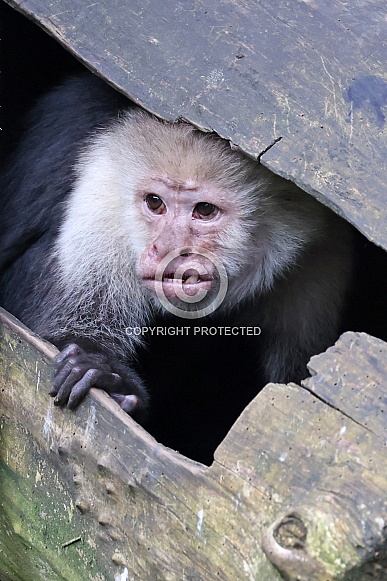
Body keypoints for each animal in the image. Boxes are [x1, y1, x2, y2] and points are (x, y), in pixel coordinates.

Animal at [0, 73, 354, 426]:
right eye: (155, 203)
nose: (168, 249)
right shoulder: (103, 194)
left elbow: (291, 380)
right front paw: (103, 372)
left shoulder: (318, 255)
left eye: (205, 210)